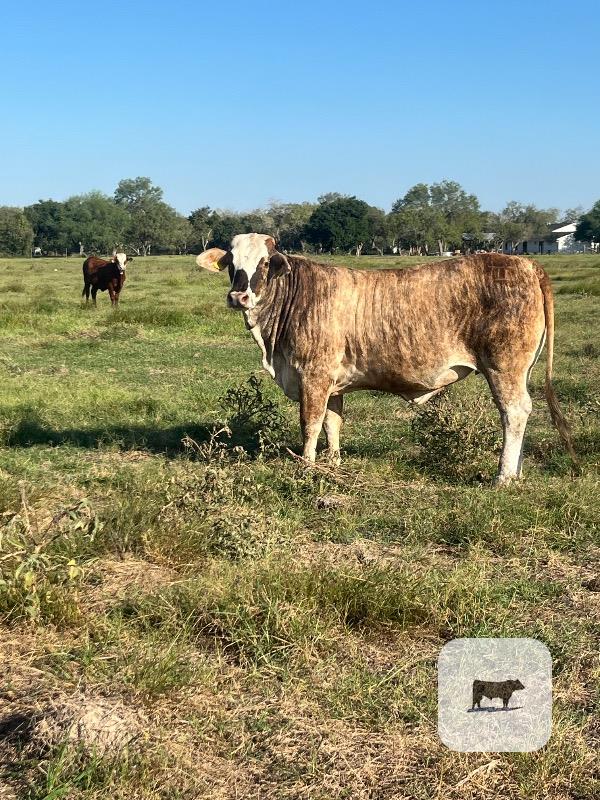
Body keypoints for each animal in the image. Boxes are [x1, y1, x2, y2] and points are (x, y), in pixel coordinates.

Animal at [196, 233, 578, 485]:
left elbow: (310, 424)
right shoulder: (333, 383)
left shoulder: (313, 376)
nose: (239, 296)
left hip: (504, 366)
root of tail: (524, 262)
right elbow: (333, 423)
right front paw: (333, 463)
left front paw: (307, 465)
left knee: (514, 412)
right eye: (231, 263)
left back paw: (503, 476)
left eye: (264, 263)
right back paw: (517, 472)